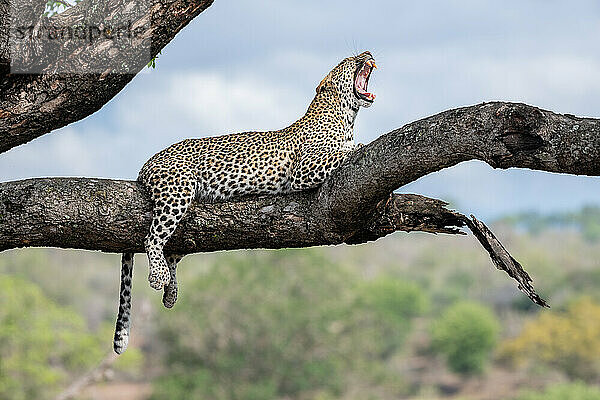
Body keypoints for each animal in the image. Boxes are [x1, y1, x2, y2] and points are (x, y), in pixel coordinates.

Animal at [112, 50, 376, 354]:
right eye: (348, 60)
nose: (368, 53)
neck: (346, 116)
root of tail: (145, 164)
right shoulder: (304, 169)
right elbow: (341, 152)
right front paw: (356, 146)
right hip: (178, 188)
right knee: (153, 238)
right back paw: (158, 277)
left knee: (173, 250)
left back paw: (171, 292)